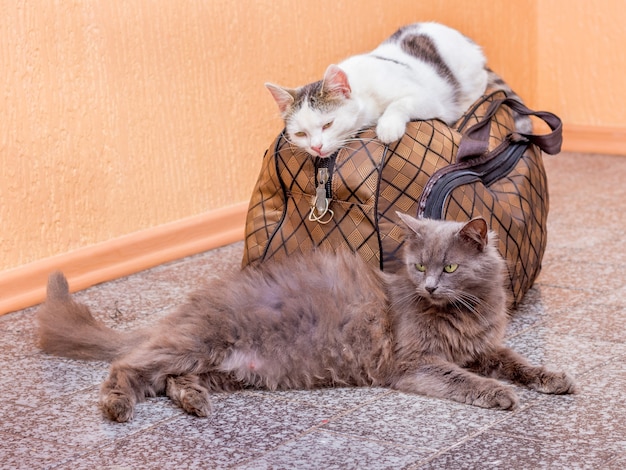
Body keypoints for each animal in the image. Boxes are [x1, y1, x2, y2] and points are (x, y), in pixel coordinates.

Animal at [34, 213, 572, 422]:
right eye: (420, 267)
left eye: (452, 268)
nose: (431, 286)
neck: (461, 314)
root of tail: (184, 307)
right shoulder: (414, 363)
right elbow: (464, 378)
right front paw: (498, 394)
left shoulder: (485, 346)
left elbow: (518, 362)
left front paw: (553, 378)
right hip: (200, 343)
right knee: (127, 368)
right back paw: (117, 406)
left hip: (226, 368)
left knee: (168, 380)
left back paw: (194, 402)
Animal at [266, 22, 528, 159]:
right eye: (301, 134)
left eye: (328, 124)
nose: (316, 147)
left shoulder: (427, 99)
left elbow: (399, 103)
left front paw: (388, 127)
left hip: (467, 74)